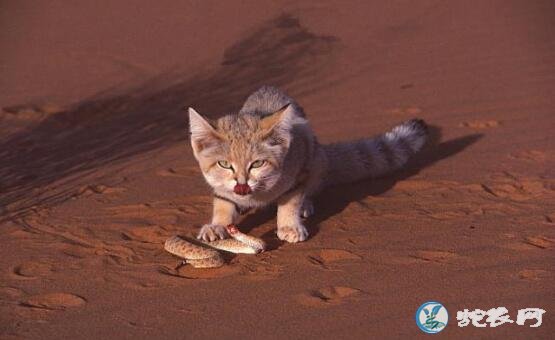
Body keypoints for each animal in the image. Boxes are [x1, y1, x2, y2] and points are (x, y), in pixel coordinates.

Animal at [189, 86, 428, 243]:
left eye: (257, 163)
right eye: (224, 164)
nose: (241, 186)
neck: (259, 194)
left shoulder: (299, 167)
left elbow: (290, 200)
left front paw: (289, 225)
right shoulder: (221, 188)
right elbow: (223, 203)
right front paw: (217, 225)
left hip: (316, 159)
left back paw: (305, 205)